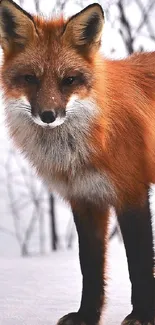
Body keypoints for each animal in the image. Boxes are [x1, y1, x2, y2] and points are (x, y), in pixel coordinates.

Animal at [0, 0, 155, 322]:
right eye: (30, 78)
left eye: (68, 80)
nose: (48, 115)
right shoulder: (85, 198)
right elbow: (90, 267)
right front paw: (86, 316)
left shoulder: (132, 192)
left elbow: (140, 263)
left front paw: (143, 315)